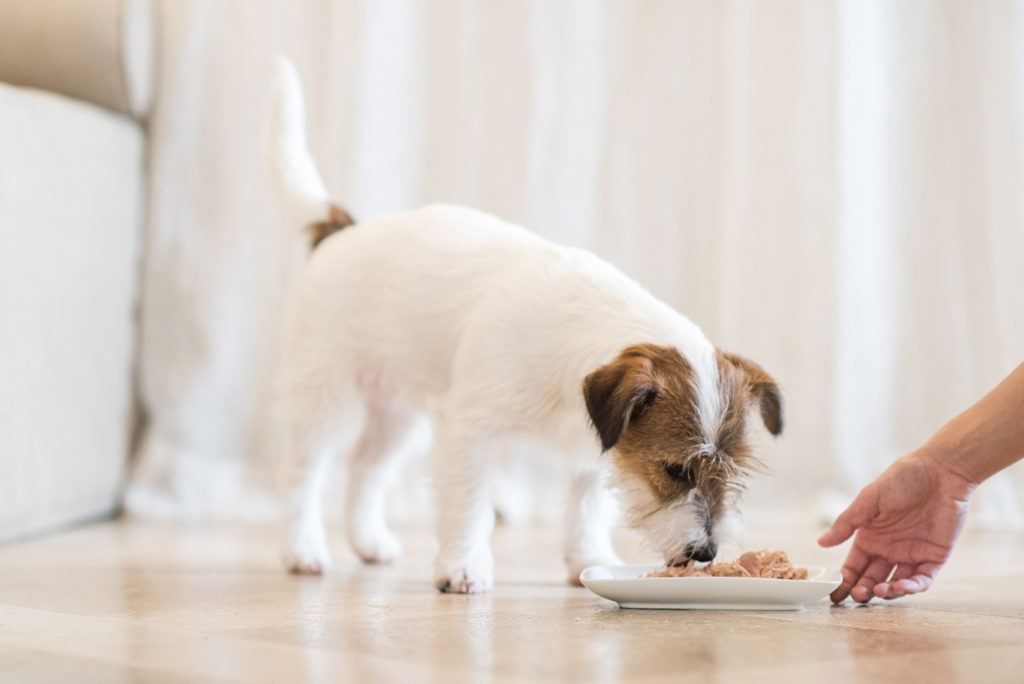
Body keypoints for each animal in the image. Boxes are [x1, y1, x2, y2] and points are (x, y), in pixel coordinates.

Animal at [266, 60, 782, 593]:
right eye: (676, 469)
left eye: (730, 473)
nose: (706, 553)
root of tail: (342, 231)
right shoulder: (468, 430)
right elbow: (470, 506)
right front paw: (463, 567)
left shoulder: (593, 451)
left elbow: (587, 506)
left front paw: (588, 558)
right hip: (323, 397)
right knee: (301, 475)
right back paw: (302, 550)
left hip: (396, 412)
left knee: (365, 466)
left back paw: (369, 542)